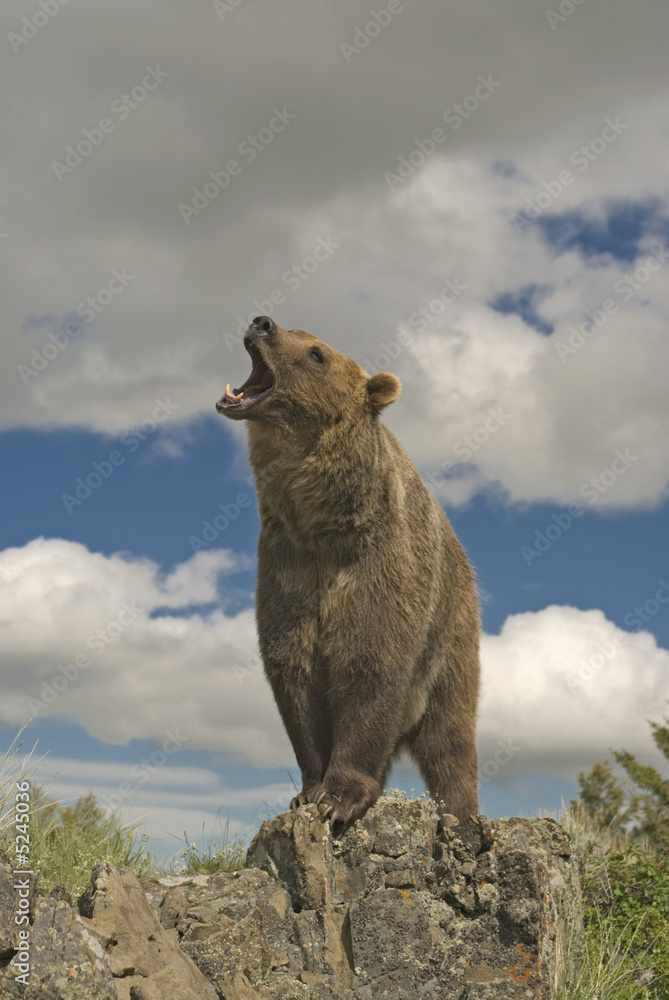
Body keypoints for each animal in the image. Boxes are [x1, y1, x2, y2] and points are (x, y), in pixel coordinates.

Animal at [216, 315, 480, 827]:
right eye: (297, 332)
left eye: (317, 353)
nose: (263, 323)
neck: (321, 523)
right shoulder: (288, 568)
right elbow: (294, 676)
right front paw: (308, 791)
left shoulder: (379, 563)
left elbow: (370, 662)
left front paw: (340, 797)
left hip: (451, 631)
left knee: (450, 732)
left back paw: (461, 815)